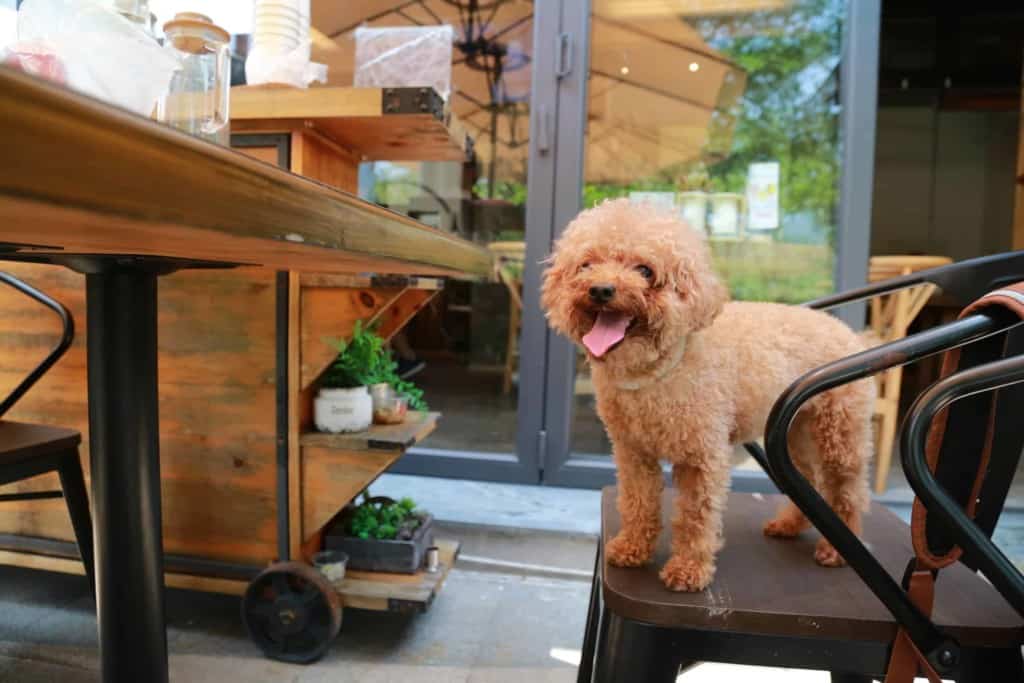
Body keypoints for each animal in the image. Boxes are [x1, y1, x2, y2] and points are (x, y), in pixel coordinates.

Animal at [544, 198, 872, 593]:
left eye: (645, 270)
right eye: (587, 265)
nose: (601, 290)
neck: (656, 371)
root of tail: (849, 332)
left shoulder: (702, 457)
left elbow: (695, 517)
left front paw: (688, 570)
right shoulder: (633, 452)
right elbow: (638, 502)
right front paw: (633, 548)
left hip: (839, 435)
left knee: (846, 489)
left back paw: (837, 550)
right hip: (796, 435)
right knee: (810, 481)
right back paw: (788, 525)